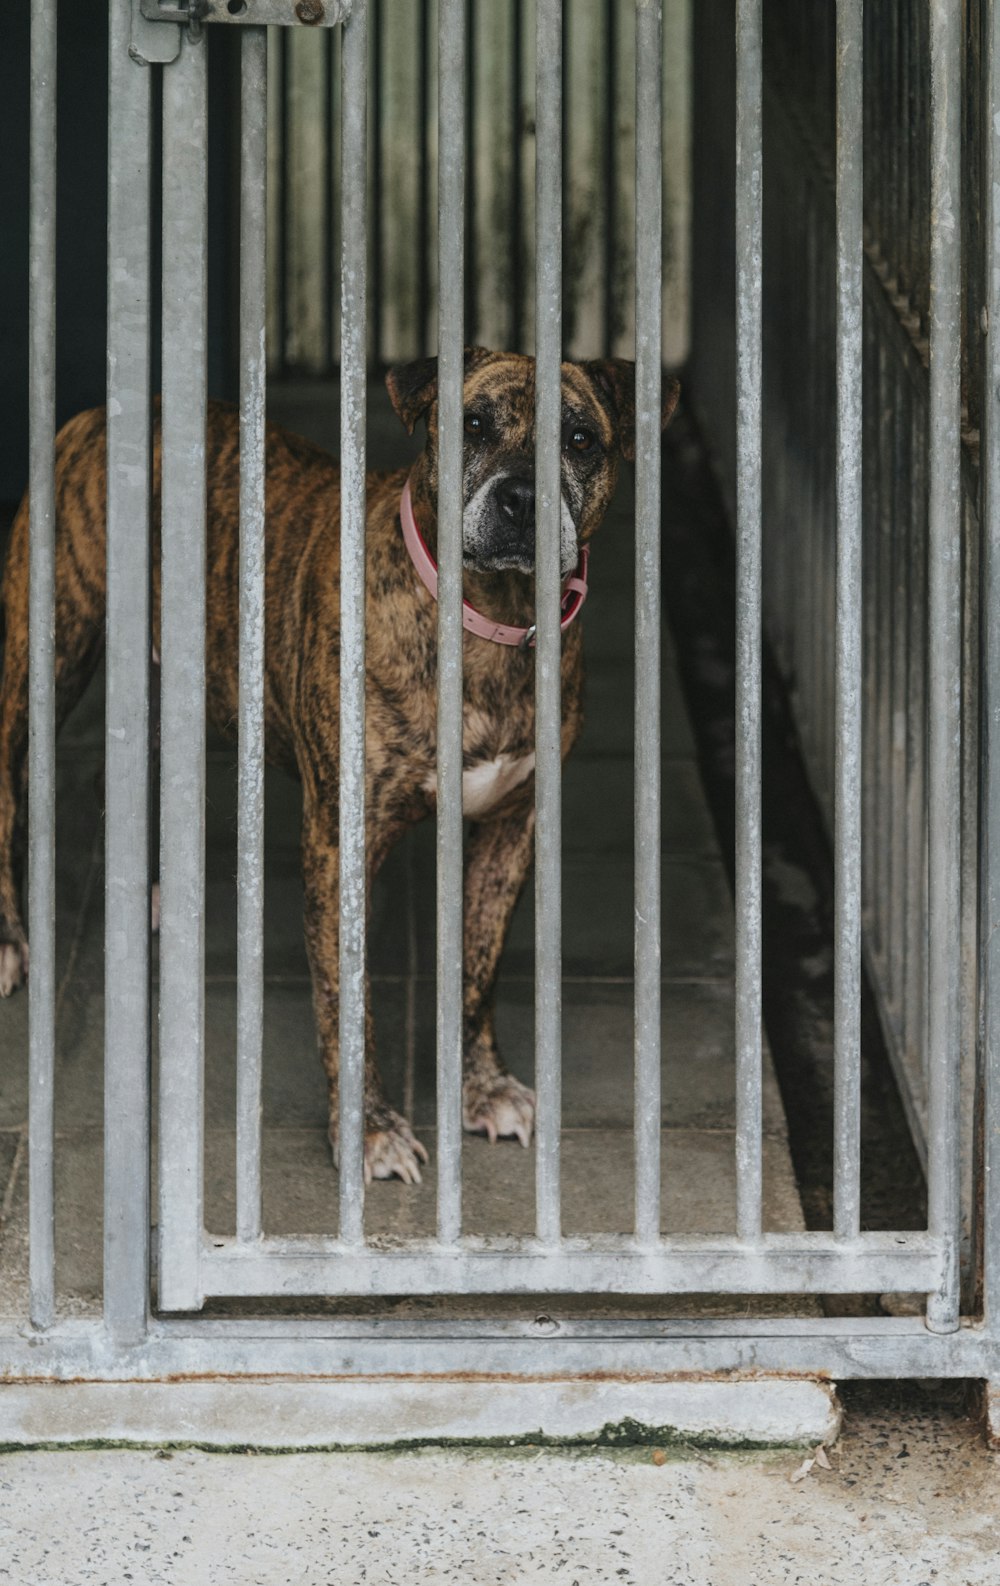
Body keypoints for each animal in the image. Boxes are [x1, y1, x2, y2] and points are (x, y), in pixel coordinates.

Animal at [0, 350, 681, 1192]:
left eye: (581, 439)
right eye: (473, 424)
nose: (521, 498)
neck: (486, 621)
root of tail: (100, 414)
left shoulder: (510, 831)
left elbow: (476, 972)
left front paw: (481, 1088)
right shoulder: (339, 848)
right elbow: (345, 1001)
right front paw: (369, 1133)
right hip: (48, 653)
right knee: (8, 785)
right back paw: (11, 940)